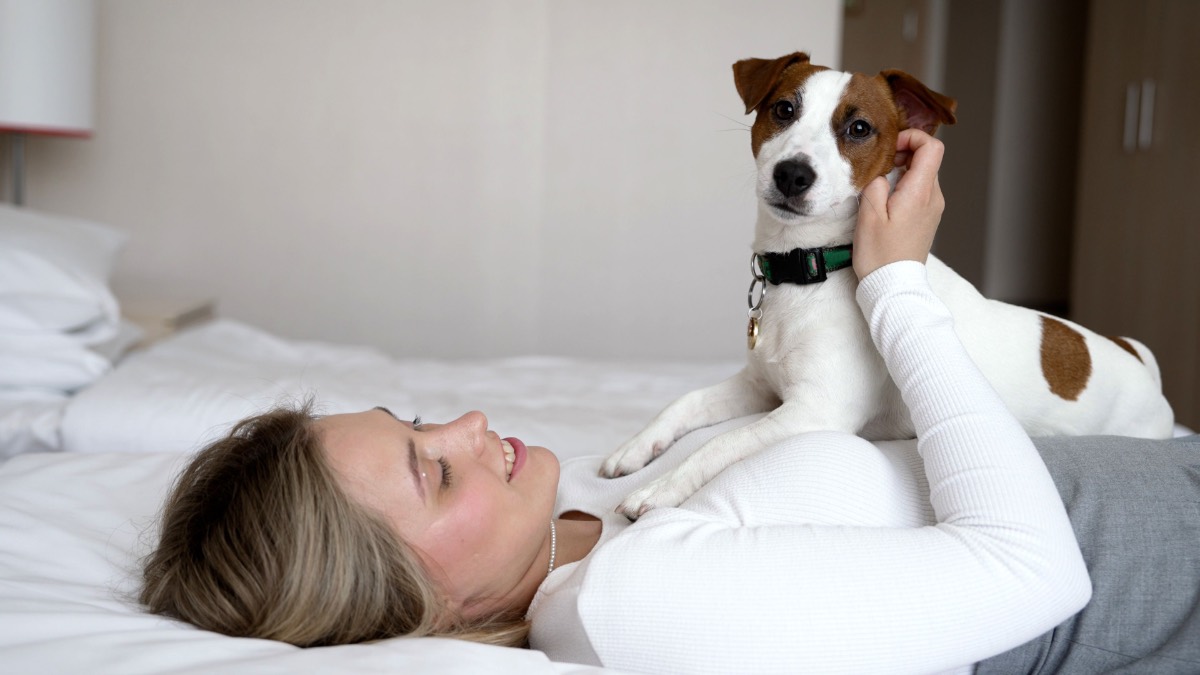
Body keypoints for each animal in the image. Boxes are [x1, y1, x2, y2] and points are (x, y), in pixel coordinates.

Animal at [600, 51, 1171, 514]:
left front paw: (660, 488)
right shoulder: (761, 387)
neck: (813, 271)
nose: (792, 174)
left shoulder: (813, 412)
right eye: (783, 110)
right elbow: (685, 402)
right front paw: (633, 448)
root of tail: (1136, 358)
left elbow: (718, 444)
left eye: (858, 129)